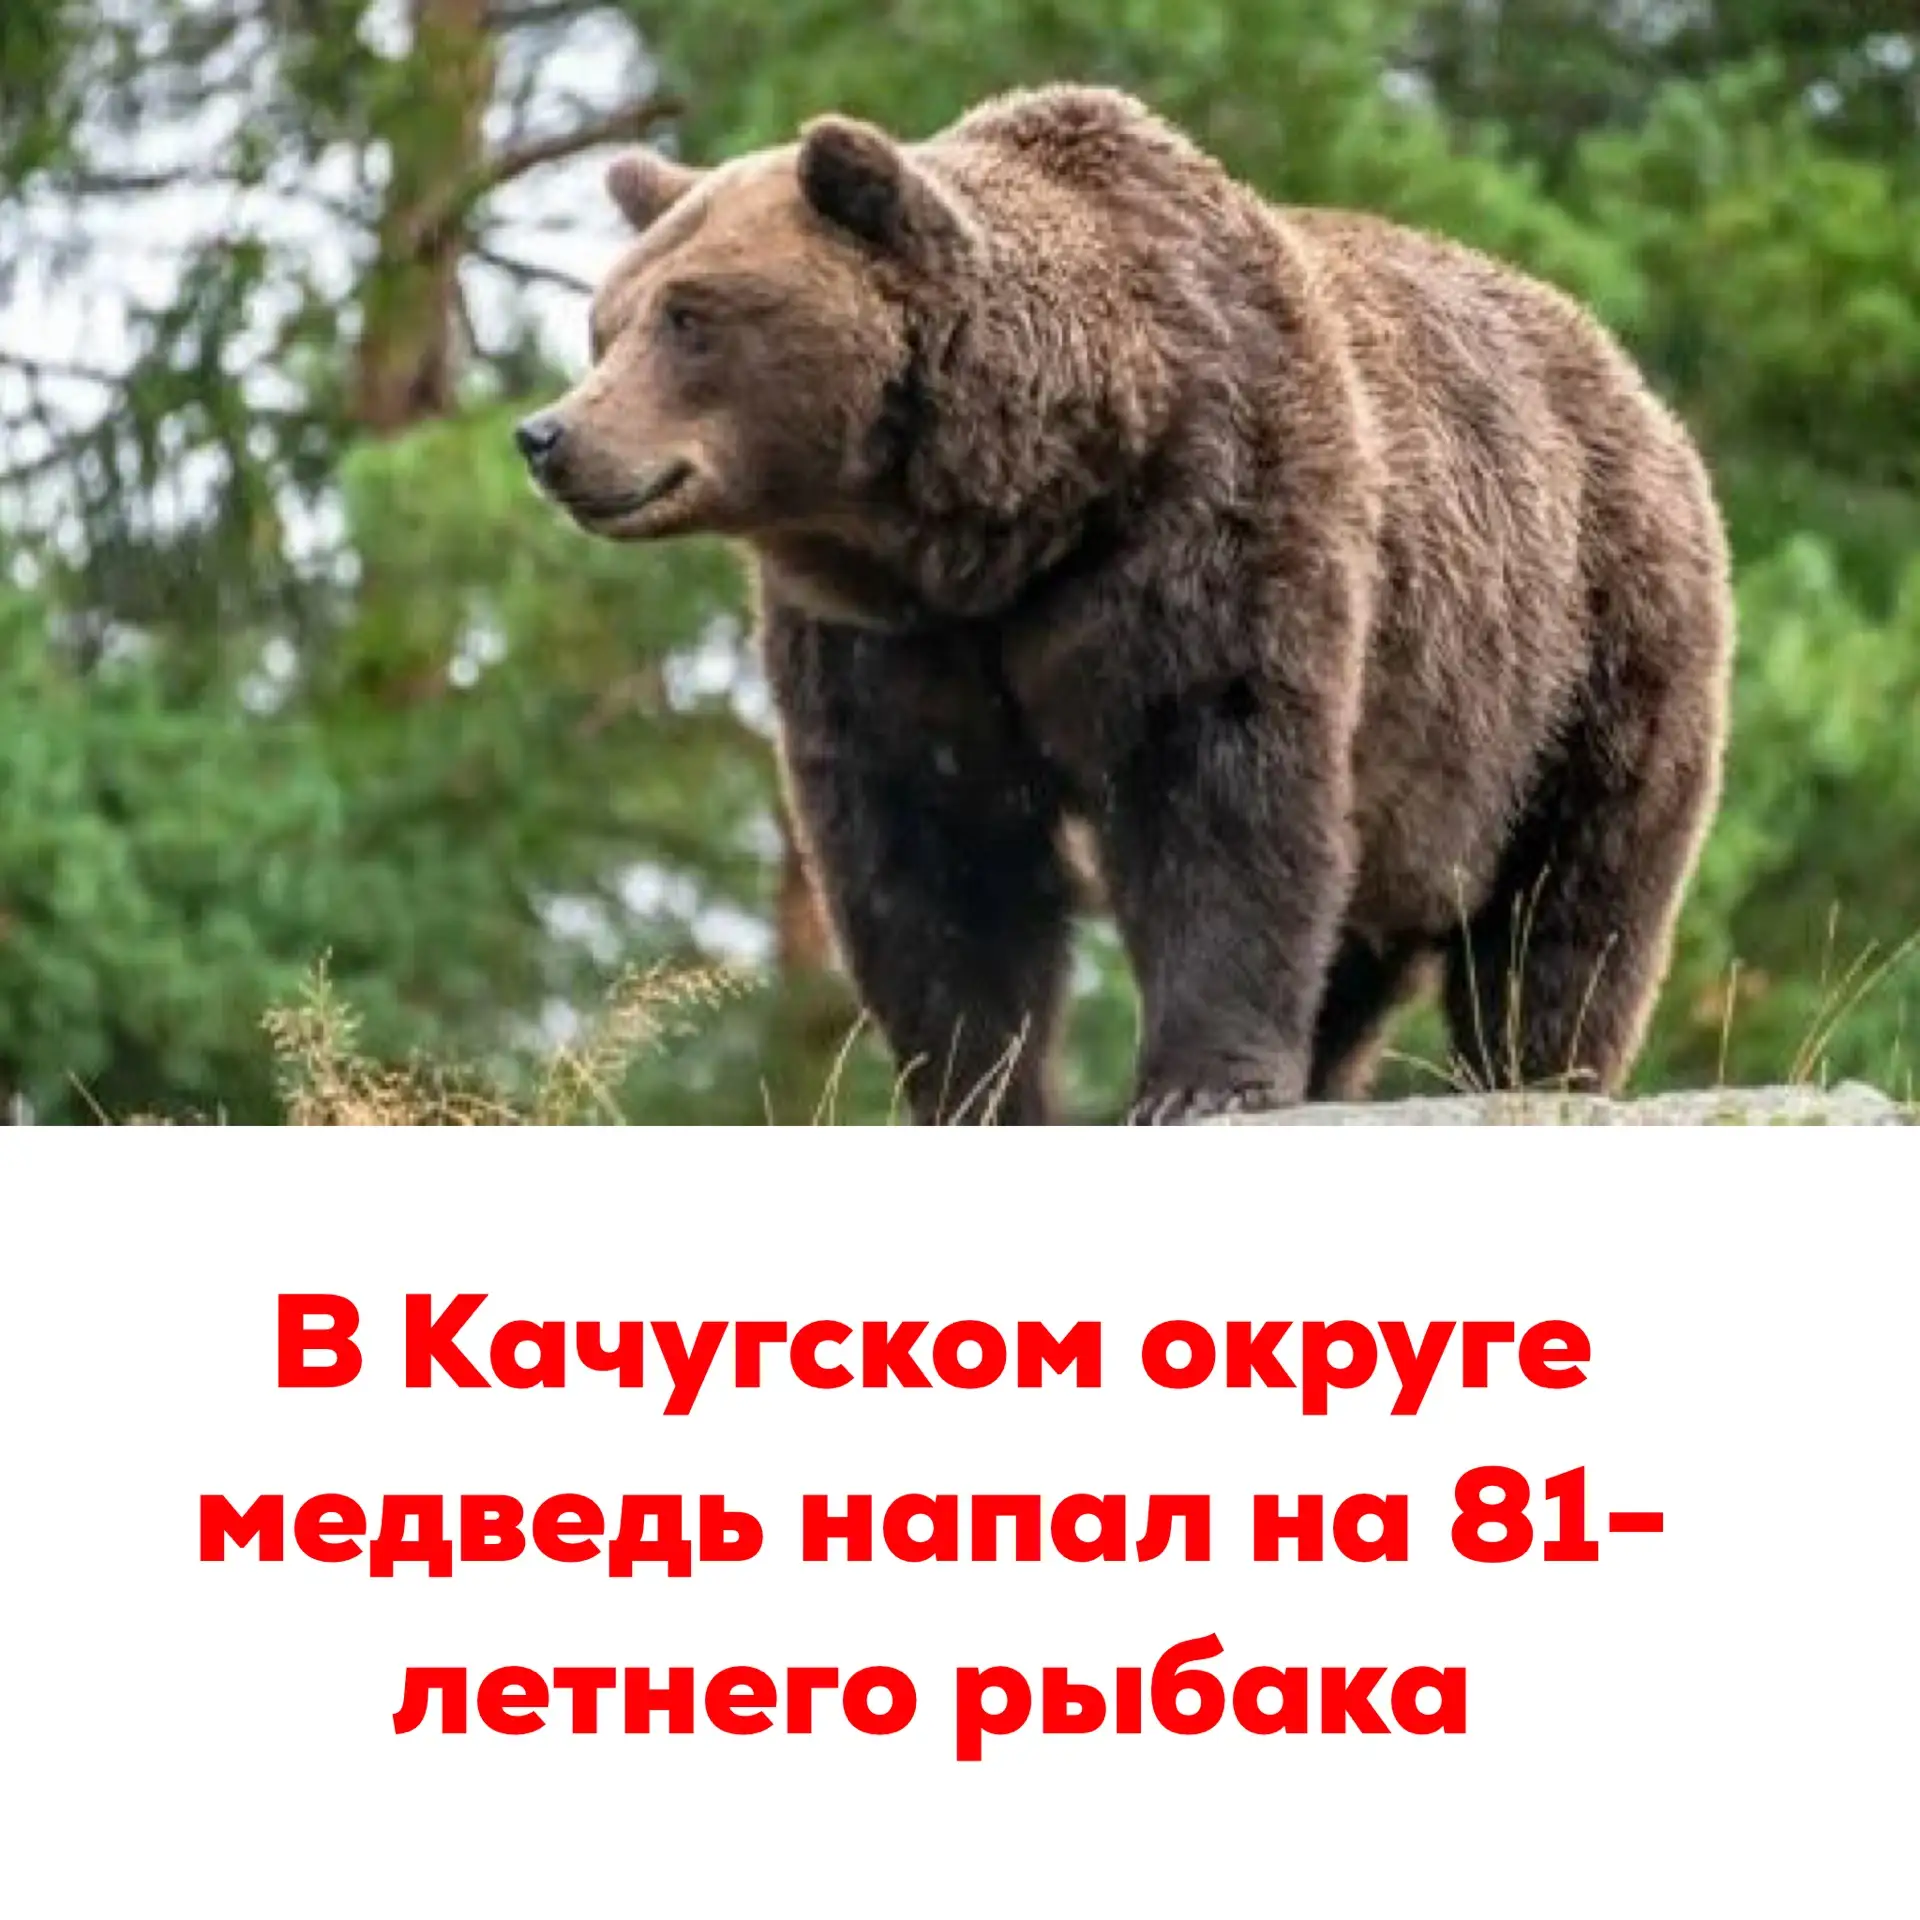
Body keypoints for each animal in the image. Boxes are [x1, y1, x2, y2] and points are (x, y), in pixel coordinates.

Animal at [517, 84, 1733, 1123]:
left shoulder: (1209, 524)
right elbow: (929, 853)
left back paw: (1543, 1065)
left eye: (690, 315)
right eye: (606, 321)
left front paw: (1198, 1083)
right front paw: (976, 1090)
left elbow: (1216, 785)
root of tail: (1627, 375)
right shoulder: (889, 640)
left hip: (1585, 649)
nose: (550, 435)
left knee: (1571, 899)